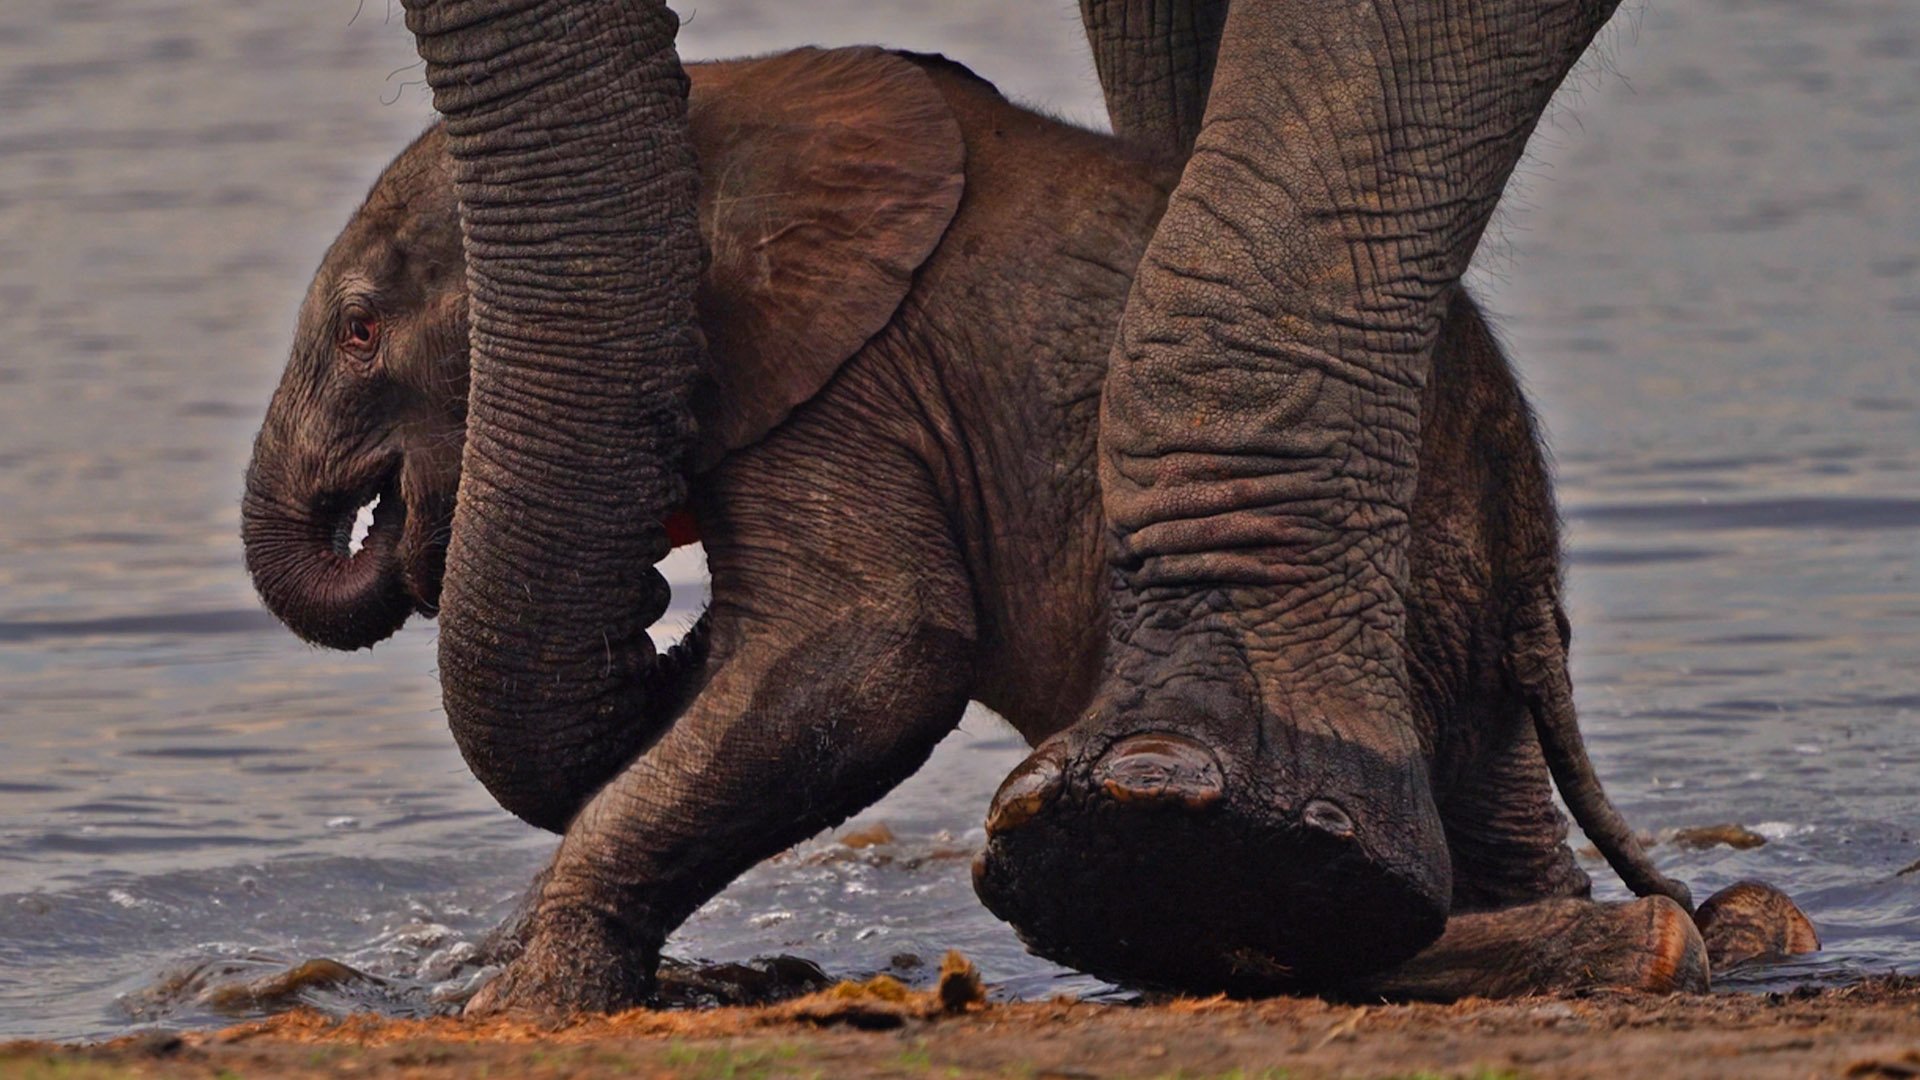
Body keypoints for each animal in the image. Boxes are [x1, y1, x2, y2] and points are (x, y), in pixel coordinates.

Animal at [242, 36, 1815, 1013]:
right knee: (1490, 802)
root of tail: (1534, 564)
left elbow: (870, 654)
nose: (410, 527)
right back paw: (1686, 938)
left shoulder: (860, 381)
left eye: (365, 329)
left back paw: (1642, 948)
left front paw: (519, 994)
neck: (722, 113)